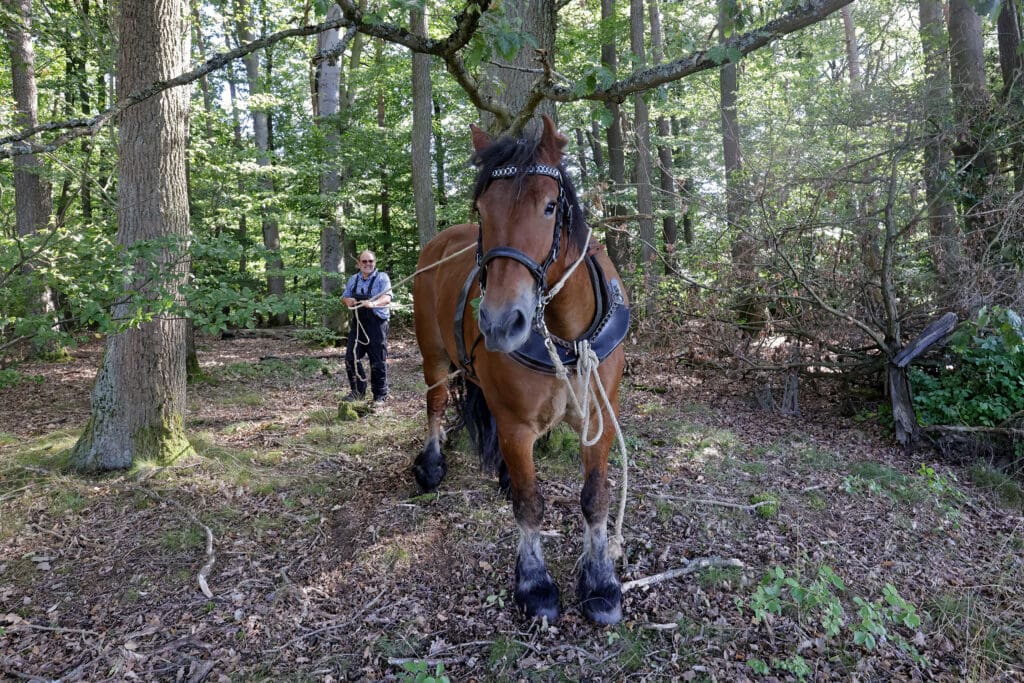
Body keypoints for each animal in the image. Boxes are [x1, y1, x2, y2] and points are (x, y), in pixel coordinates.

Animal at [411, 116, 626, 626]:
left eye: (549, 206)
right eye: (483, 209)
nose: (499, 322)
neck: (567, 336)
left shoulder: (600, 418)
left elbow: (595, 497)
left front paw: (601, 580)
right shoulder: (515, 424)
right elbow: (529, 505)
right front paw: (535, 582)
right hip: (433, 353)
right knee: (435, 400)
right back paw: (431, 463)